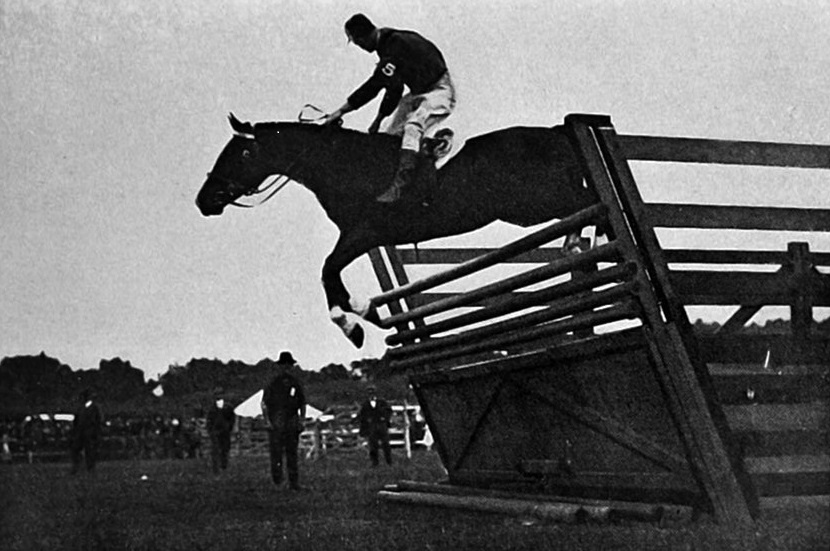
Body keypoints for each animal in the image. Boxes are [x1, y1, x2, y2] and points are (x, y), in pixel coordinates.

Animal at [195, 115, 600, 350]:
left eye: (243, 154)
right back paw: (576, 246)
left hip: (535, 204)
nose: (204, 200)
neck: (343, 164)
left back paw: (581, 245)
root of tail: (557, 133)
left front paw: (354, 320)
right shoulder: (359, 236)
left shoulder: (363, 233)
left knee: (589, 203)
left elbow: (328, 270)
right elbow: (330, 276)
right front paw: (365, 314)